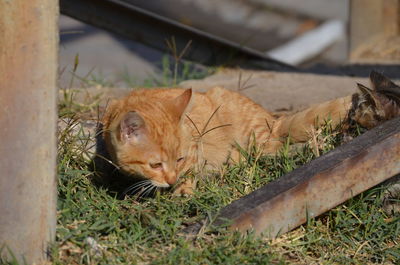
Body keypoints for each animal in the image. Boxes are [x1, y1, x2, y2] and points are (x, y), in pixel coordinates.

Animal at [102, 71, 400, 193]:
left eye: (180, 159)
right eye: (155, 164)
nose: (171, 179)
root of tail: (272, 119)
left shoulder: (196, 152)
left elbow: (193, 172)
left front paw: (183, 190)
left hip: (256, 139)